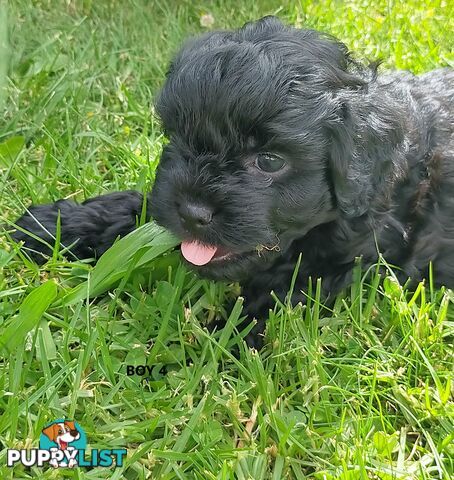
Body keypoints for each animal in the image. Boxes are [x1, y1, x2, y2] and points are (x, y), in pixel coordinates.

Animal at [10, 16, 454, 346]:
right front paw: (56, 225)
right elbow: (140, 210)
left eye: (270, 161)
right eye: (180, 138)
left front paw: (201, 350)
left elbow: (281, 293)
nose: (192, 212)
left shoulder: (361, 258)